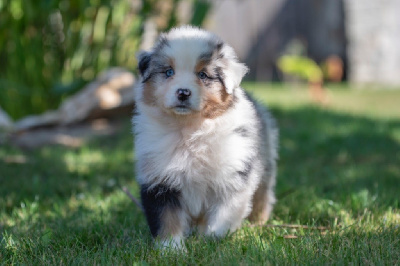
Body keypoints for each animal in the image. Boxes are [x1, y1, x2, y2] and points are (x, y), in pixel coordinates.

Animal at [134, 26, 278, 248]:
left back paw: (258, 223)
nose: (183, 92)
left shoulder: (233, 177)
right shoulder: (158, 180)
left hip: (265, 165)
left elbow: (223, 216)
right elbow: (167, 218)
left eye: (203, 75)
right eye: (168, 72)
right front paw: (171, 249)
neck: (189, 130)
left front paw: (212, 241)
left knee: (263, 196)